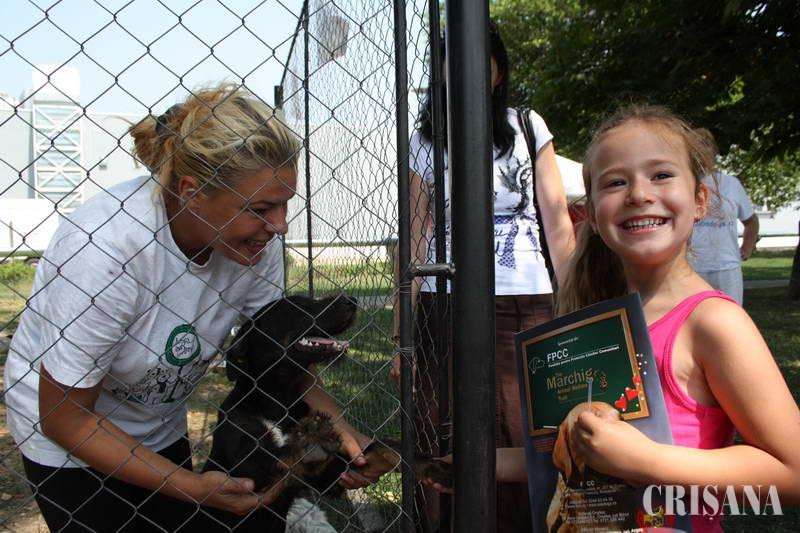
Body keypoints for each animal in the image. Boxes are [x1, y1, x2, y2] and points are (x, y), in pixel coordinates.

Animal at [200, 294, 402, 531]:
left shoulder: (328, 478)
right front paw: (312, 443)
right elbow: (282, 455)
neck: (280, 401)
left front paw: (404, 450)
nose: (351, 300)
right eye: (297, 305)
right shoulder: (245, 468)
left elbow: (374, 449)